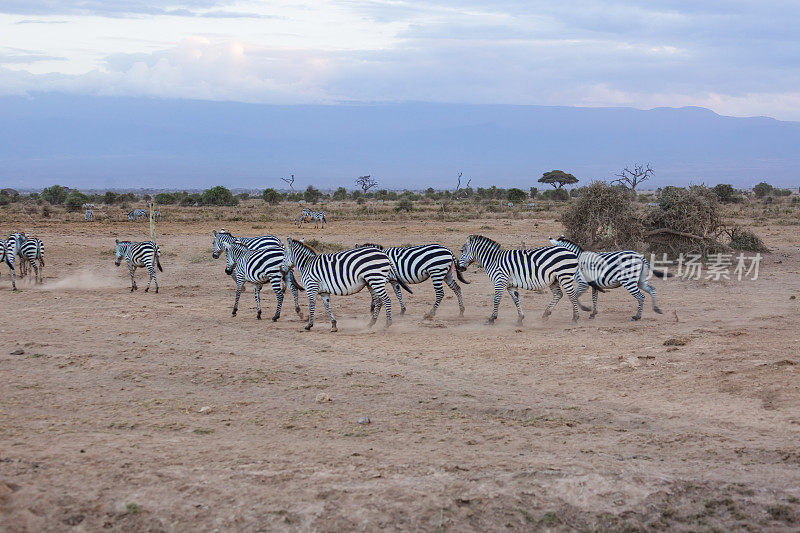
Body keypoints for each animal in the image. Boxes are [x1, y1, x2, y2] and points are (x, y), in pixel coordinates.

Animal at [282, 239, 410, 330]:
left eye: (284, 255)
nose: (282, 270)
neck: (306, 264)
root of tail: (384, 254)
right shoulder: (323, 292)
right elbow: (327, 307)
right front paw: (333, 325)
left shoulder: (311, 287)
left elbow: (311, 305)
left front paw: (309, 325)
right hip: (371, 282)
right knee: (379, 301)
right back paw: (371, 323)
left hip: (376, 279)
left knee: (386, 300)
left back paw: (387, 324)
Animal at [456, 236, 588, 326]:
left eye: (462, 251)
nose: (458, 267)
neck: (492, 260)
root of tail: (570, 251)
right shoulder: (510, 285)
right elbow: (516, 300)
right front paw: (520, 319)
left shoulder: (500, 281)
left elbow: (496, 300)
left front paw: (492, 318)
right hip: (554, 279)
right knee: (558, 294)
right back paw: (545, 314)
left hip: (564, 276)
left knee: (572, 296)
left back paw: (575, 318)